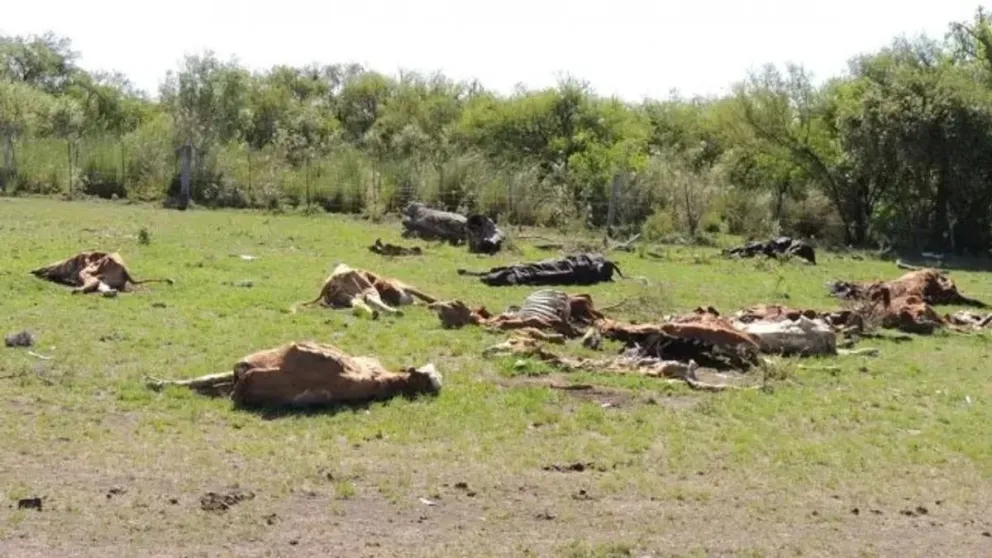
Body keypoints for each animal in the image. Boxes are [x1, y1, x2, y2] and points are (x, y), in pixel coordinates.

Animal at [30, 251, 174, 296]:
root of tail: (124, 270)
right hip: (103, 279)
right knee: (102, 286)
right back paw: (110, 293)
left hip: (89, 272)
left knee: (94, 282)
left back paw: (77, 290)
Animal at [293, 263, 437, 319]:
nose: (401, 300)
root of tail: (331, 279)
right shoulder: (406, 286)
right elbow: (425, 295)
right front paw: (436, 302)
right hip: (365, 288)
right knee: (369, 299)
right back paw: (394, 312)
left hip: (346, 296)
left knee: (358, 302)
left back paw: (374, 313)